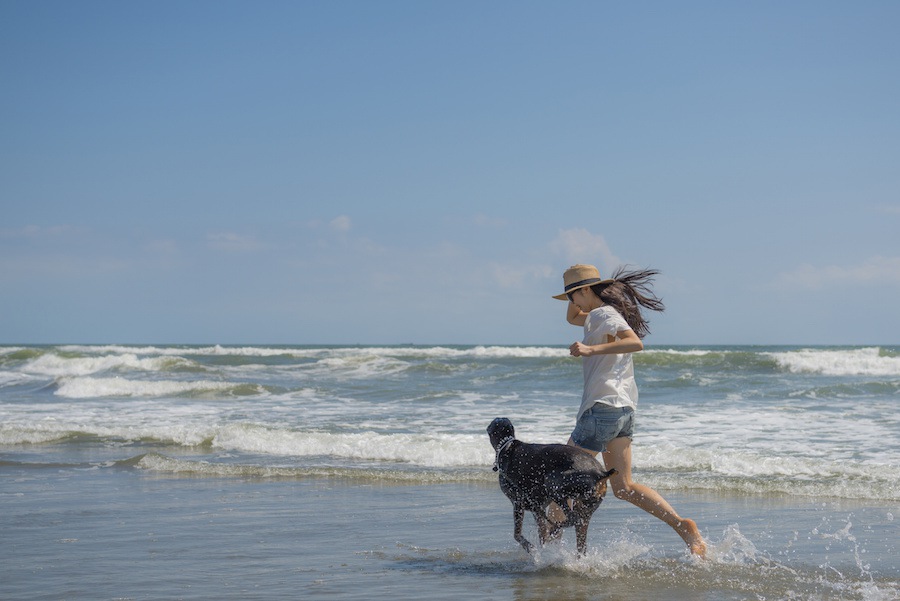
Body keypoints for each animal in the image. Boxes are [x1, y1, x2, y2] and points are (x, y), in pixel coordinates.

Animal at [488, 418, 616, 552]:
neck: (506, 446)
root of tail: (600, 473)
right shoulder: (537, 508)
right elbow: (541, 533)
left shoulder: (518, 502)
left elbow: (517, 535)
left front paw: (530, 547)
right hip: (587, 507)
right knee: (580, 535)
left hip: (553, 483)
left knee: (573, 519)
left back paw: (554, 529)